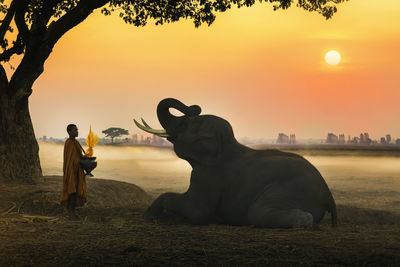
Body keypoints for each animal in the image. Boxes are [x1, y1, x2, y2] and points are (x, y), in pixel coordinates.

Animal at [135, 99, 338, 229]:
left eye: (185, 124)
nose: (194, 107)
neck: (226, 145)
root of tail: (327, 193)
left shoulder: (209, 176)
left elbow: (197, 212)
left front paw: (149, 216)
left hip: (288, 190)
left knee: (258, 212)